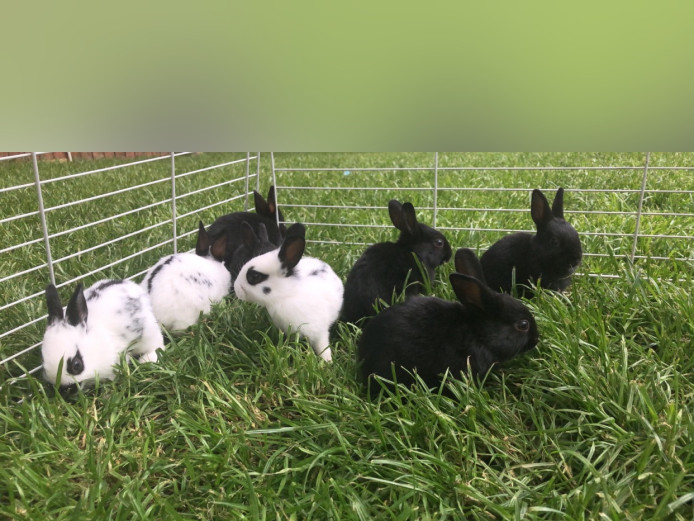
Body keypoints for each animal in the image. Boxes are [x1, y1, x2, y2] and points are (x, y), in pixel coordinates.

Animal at [233, 223, 343, 362]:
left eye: (254, 277)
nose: (236, 288)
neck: (286, 295)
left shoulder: (320, 332)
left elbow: (322, 346)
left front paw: (327, 362)